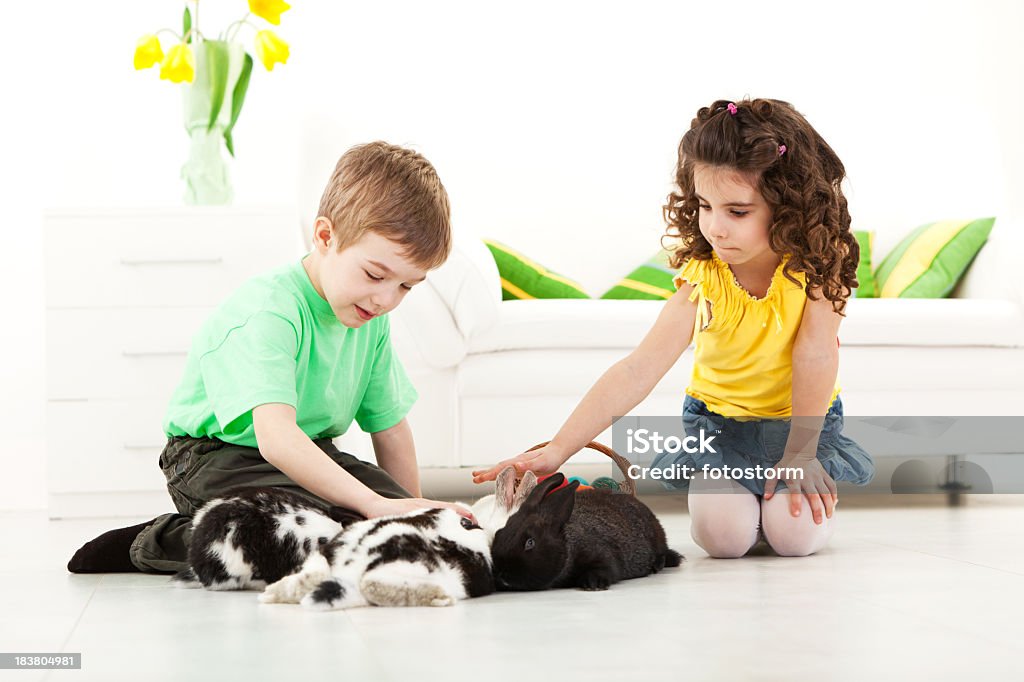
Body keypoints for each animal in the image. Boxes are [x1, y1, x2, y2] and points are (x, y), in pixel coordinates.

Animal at [491, 473, 684, 589]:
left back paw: (657, 565)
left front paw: (594, 583)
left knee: (663, 553)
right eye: (499, 532)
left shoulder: (602, 554)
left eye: (530, 543)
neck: (568, 547)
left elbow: (607, 568)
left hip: (657, 538)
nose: (501, 574)